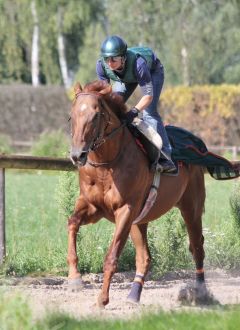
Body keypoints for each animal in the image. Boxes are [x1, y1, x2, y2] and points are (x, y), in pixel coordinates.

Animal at [68, 81, 205, 308]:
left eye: (95, 116)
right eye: (71, 116)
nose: (77, 155)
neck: (107, 164)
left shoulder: (125, 210)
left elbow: (111, 257)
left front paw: (102, 299)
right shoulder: (93, 207)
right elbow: (72, 223)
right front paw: (74, 277)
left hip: (191, 208)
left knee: (197, 247)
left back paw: (202, 291)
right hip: (139, 220)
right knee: (144, 257)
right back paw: (133, 295)